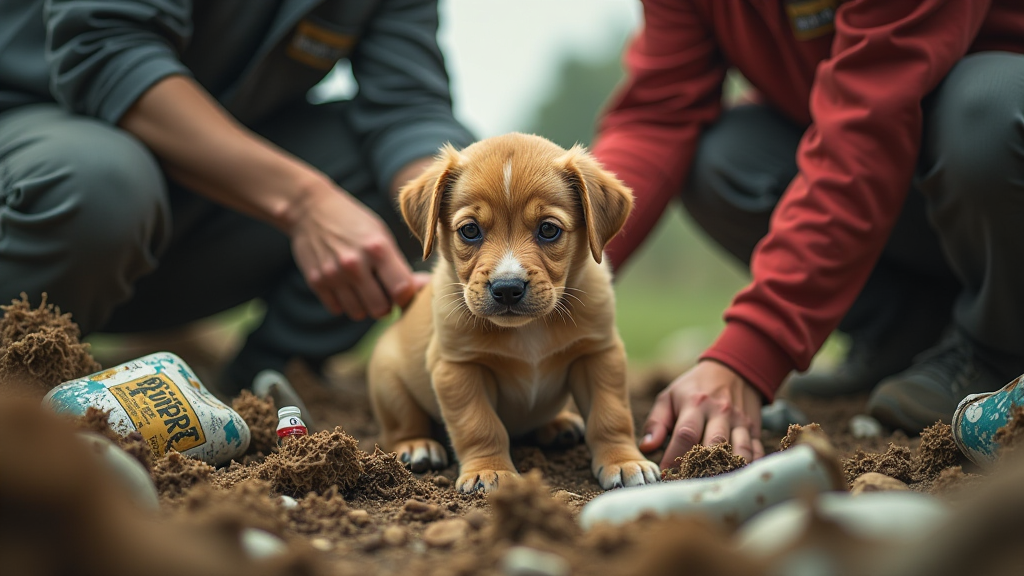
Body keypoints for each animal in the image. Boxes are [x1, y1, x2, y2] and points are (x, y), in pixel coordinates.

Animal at [368, 132, 655, 491]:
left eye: (548, 229)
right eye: (470, 230)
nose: (506, 288)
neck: (528, 329)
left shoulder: (599, 353)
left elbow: (611, 415)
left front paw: (624, 461)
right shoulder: (457, 367)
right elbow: (479, 425)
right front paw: (488, 471)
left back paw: (559, 425)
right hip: (388, 383)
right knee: (400, 427)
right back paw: (418, 445)